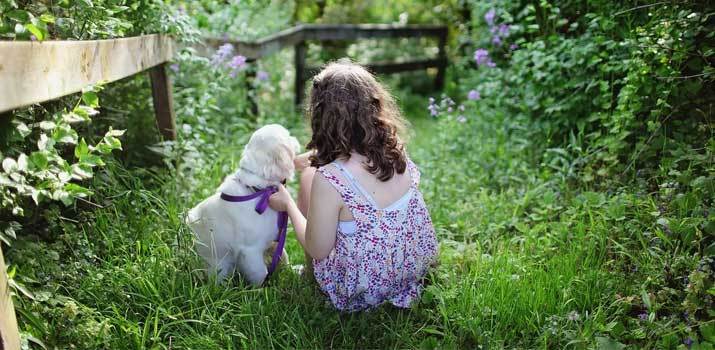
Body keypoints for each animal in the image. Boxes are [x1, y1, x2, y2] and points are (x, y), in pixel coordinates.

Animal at [186, 124, 300, 286]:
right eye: (288, 136)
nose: (296, 138)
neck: (258, 190)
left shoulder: (274, 239)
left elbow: (283, 256)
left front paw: (293, 271)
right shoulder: (250, 250)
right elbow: (260, 273)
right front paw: (260, 289)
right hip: (218, 264)